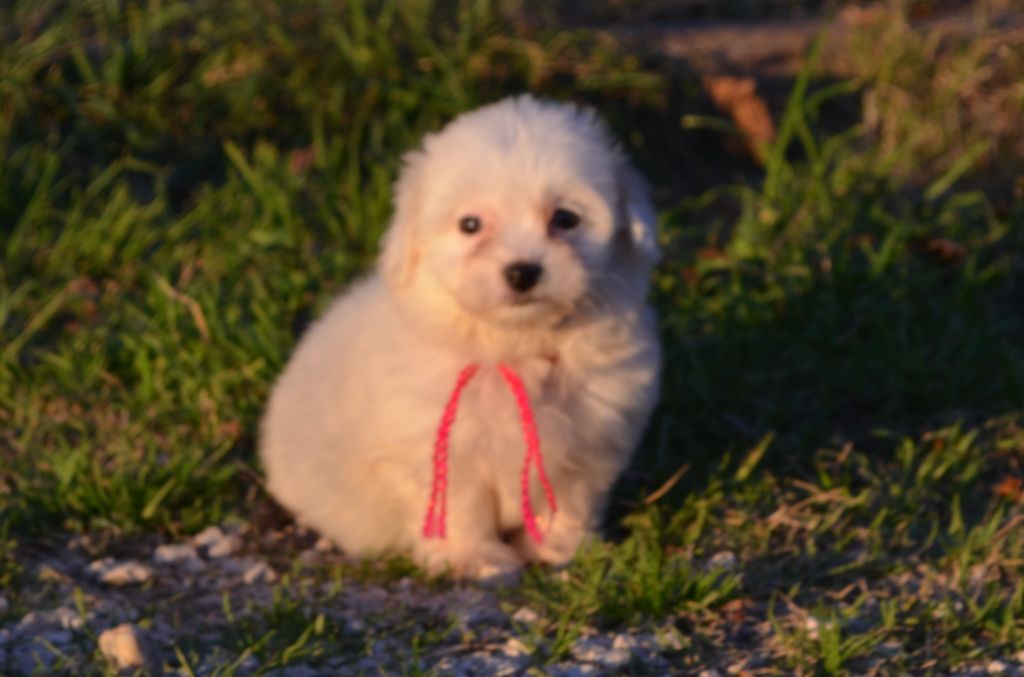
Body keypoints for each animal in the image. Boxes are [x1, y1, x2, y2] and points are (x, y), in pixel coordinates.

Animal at [260, 95, 663, 577]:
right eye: (470, 225)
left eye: (565, 218)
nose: (522, 271)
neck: (512, 348)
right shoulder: (438, 451)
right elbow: (461, 506)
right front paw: (475, 558)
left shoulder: (592, 439)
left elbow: (570, 500)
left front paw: (558, 547)